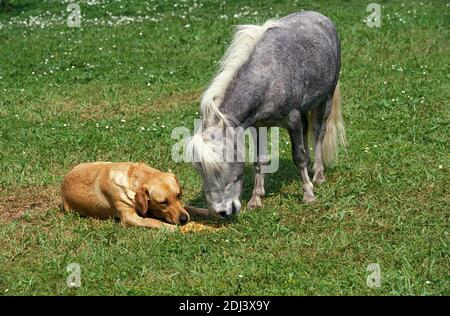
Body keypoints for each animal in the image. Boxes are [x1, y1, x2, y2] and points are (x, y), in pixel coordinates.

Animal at [59, 162, 190, 231]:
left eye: (179, 195)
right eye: (163, 202)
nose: (184, 219)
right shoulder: (129, 218)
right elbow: (154, 221)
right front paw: (172, 228)